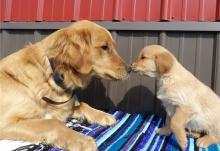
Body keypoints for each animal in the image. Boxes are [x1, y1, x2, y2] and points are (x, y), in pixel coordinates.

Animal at [0, 20, 131, 151]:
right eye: (104, 47)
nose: (130, 69)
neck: (51, 78)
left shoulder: (62, 108)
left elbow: (82, 104)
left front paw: (102, 115)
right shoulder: (6, 122)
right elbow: (52, 123)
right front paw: (82, 140)